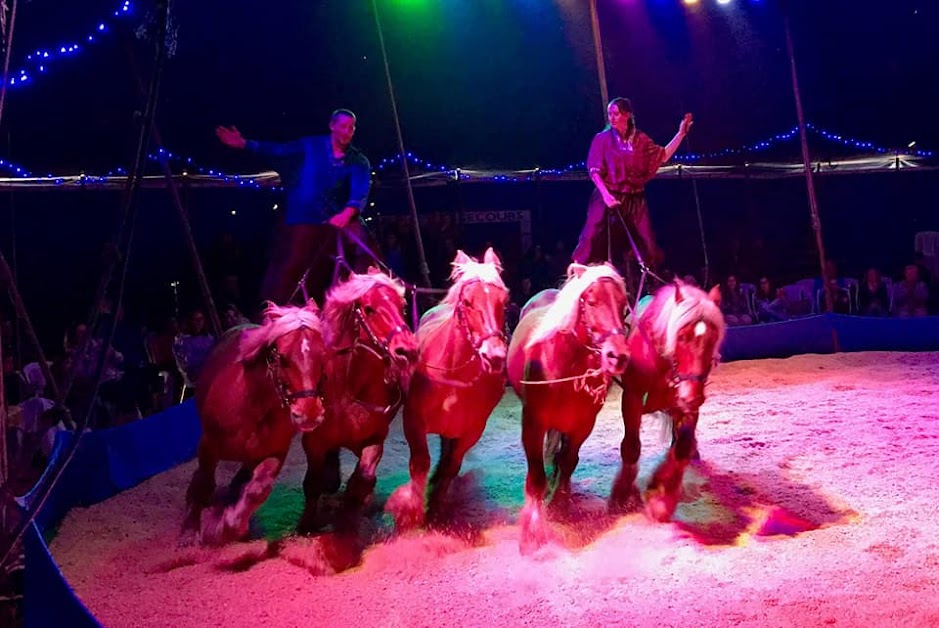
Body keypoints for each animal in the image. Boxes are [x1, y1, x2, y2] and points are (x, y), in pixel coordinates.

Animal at [184, 300, 326, 544]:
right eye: (282, 357)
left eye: (322, 355)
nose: (309, 413)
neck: (254, 407)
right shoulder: (208, 446)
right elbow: (203, 483)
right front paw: (192, 530)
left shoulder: (274, 452)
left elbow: (258, 489)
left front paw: (231, 525)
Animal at [302, 268, 418, 532]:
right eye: (369, 308)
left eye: (402, 307)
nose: (407, 350)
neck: (350, 389)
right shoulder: (313, 443)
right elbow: (312, 483)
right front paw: (306, 524)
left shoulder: (374, 439)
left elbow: (364, 478)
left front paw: (351, 507)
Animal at [386, 248, 510, 528]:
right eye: (468, 302)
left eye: (504, 301)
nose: (495, 356)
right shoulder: (413, 420)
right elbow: (420, 462)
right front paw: (412, 511)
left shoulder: (471, 430)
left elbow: (452, 465)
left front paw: (435, 508)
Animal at [506, 262, 632, 552]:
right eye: (591, 301)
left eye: (623, 305)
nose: (617, 356)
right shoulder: (532, 423)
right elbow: (536, 476)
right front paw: (534, 527)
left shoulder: (582, 424)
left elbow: (568, 461)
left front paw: (560, 501)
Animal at [608, 282, 728, 524]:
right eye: (681, 337)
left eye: (713, 339)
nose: (693, 395)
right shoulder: (632, 399)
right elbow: (631, 447)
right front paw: (622, 495)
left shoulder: (687, 407)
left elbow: (681, 448)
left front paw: (662, 497)